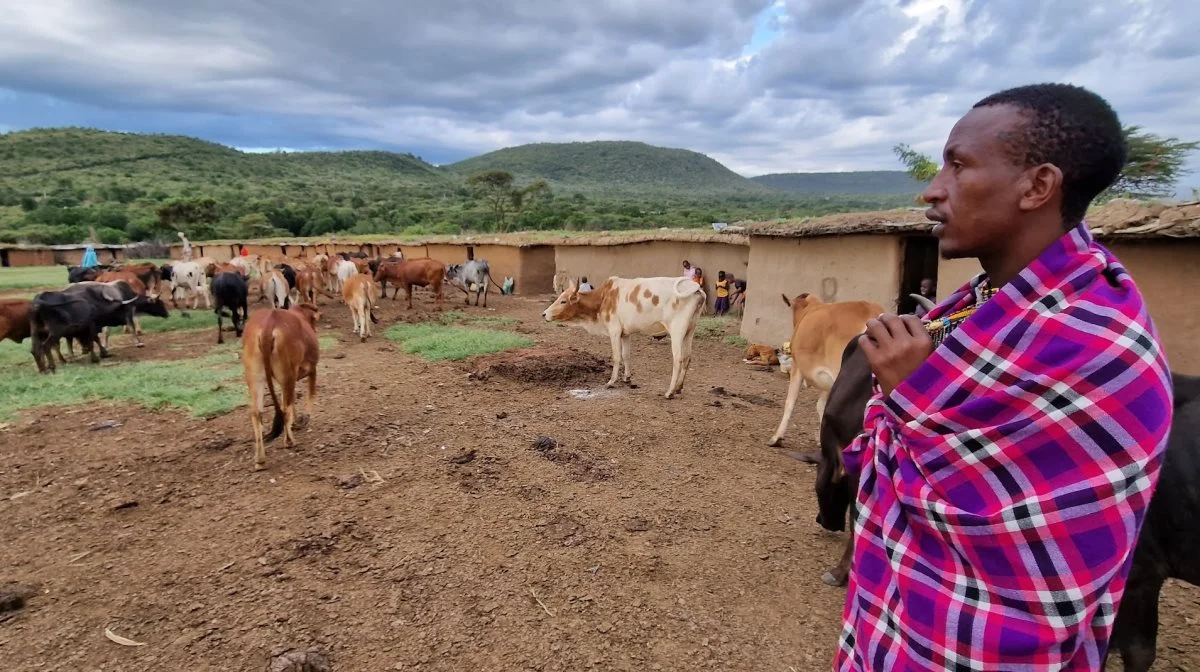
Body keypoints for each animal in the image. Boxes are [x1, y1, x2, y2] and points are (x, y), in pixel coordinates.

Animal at [242, 302, 324, 470]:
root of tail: (268, 324)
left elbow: (291, 401)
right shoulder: (311, 370)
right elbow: (310, 395)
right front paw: (303, 419)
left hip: (255, 377)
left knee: (256, 413)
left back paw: (260, 459)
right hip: (288, 374)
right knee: (285, 409)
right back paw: (289, 441)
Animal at [542, 276, 705, 396]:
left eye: (563, 301)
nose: (544, 314)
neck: (604, 298)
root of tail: (696, 289)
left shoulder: (614, 331)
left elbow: (616, 357)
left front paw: (611, 382)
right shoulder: (626, 334)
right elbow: (626, 355)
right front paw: (627, 378)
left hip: (677, 331)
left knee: (678, 359)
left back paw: (669, 392)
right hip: (689, 331)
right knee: (687, 357)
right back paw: (678, 388)